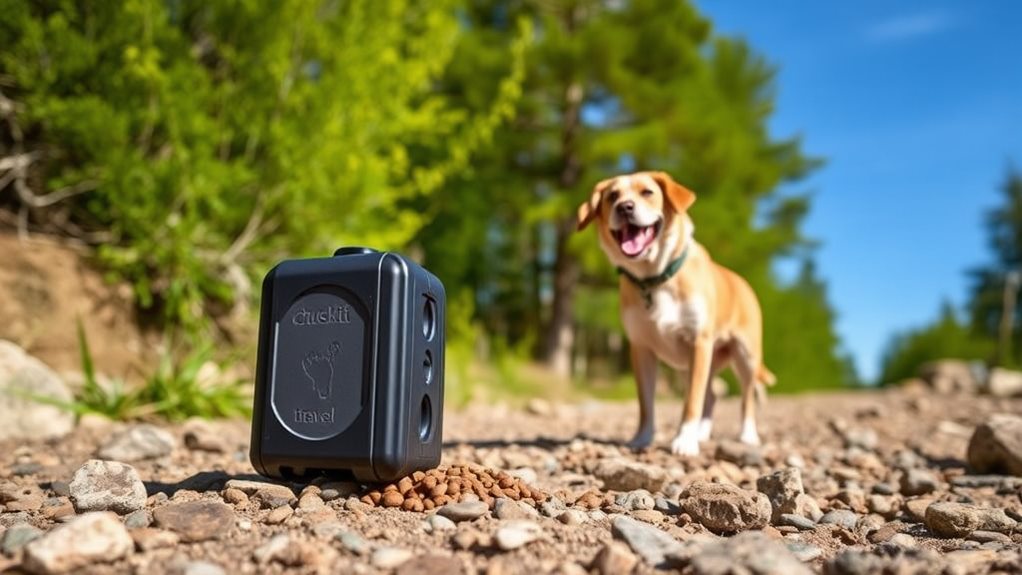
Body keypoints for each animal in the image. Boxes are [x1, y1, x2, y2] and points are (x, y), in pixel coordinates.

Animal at [580, 170, 768, 455]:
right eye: (612, 196)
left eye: (647, 192)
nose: (625, 207)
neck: (654, 278)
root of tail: (743, 282)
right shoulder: (641, 349)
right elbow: (646, 404)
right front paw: (642, 438)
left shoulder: (699, 342)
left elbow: (692, 400)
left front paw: (685, 441)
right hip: (686, 364)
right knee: (712, 395)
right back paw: (703, 432)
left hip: (744, 356)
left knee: (746, 397)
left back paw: (746, 435)